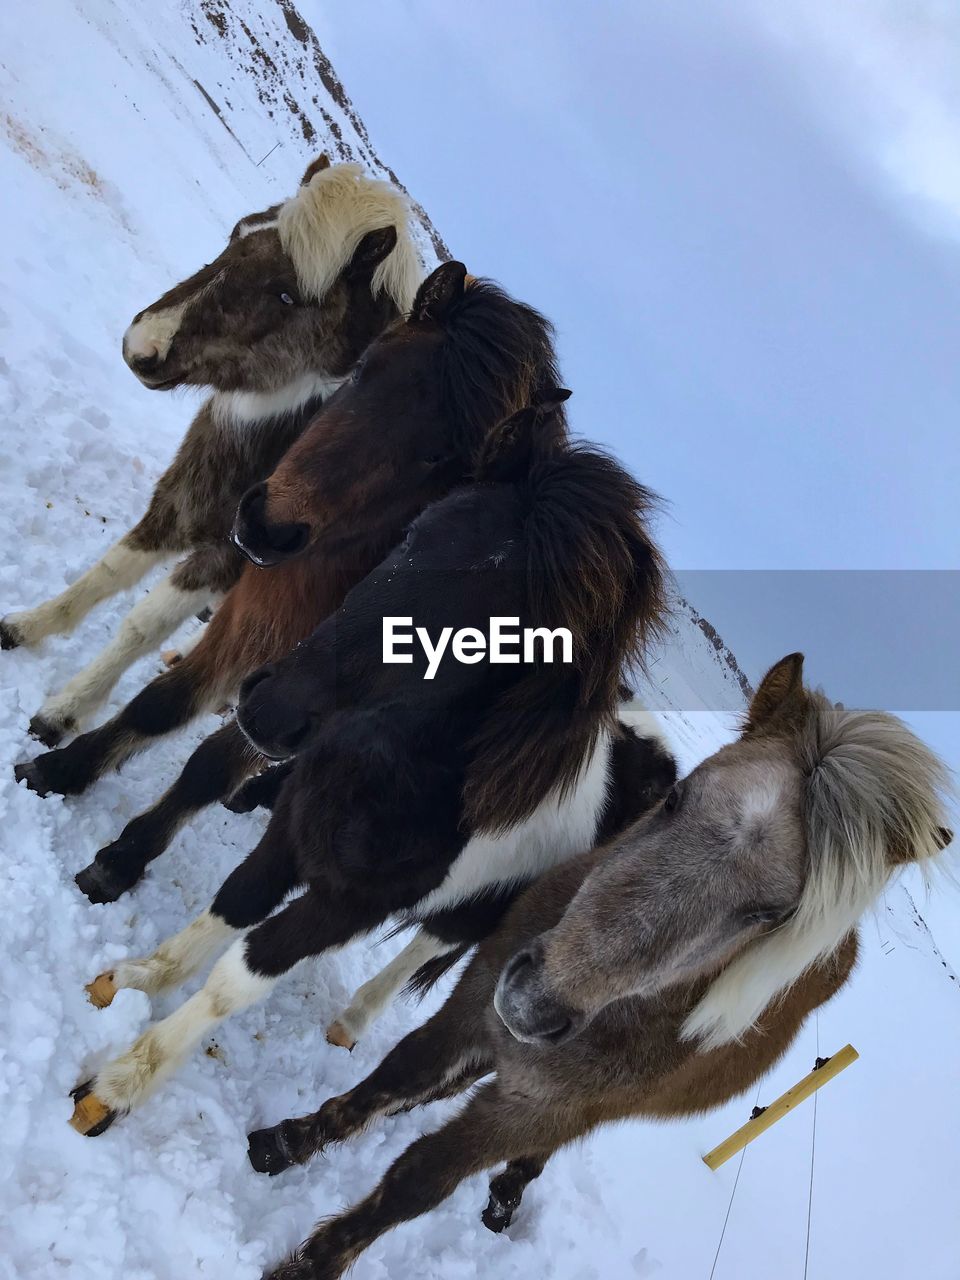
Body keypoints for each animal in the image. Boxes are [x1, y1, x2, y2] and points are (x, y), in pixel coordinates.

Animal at [0, 154, 419, 747]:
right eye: (238, 232)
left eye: (287, 294)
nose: (142, 348)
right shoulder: (183, 498)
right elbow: (108, 573)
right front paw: (28, 627)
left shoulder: (228, 554)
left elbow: (141, 623)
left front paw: (64, 712)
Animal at [16, 268, 570, 906]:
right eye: (362, 370)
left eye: (441, 458)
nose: (268, 526)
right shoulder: (253, 627)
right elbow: (160, 705)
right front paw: (61, 770)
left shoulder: (297, 691)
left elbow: (210, 765)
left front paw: (122, 859)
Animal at [241, 655, 957, 1280]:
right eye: (675, 800)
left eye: (772, 914)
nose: (534, 1003)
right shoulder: (470, 1008)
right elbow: (396, 1078)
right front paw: (289, 1142)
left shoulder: (540, 1109)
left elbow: (417, 1184)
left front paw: (306, 1267)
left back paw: (506, 1197)